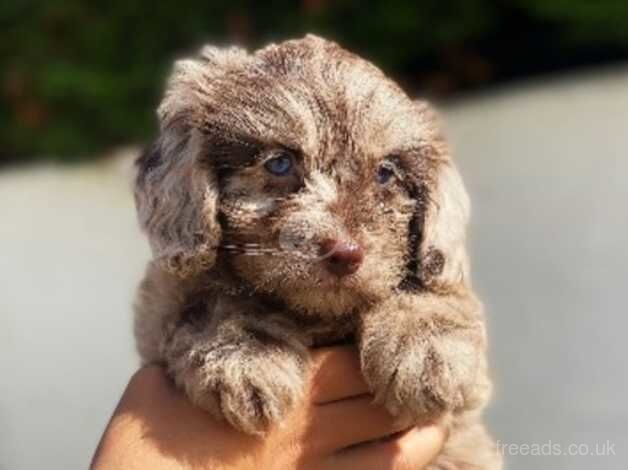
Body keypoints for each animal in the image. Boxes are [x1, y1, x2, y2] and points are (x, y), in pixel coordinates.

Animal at [132, 35, 500, 468]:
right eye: (279, 163)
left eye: (385, 173)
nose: (345, 253)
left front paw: (427, 349)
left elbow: (434, 287)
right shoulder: (164, 295)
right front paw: (245, 354)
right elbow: (209, 297)